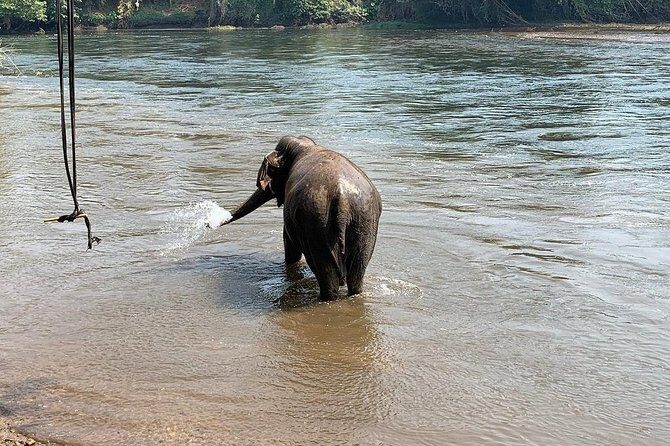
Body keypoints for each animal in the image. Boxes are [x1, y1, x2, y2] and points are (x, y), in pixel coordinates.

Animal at [222, 136, 382, 301]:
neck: (302, 144)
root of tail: (342, 198)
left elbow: (289, 243)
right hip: (363, 222)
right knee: (357, 272)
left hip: (316, 224)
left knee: (325, 272)